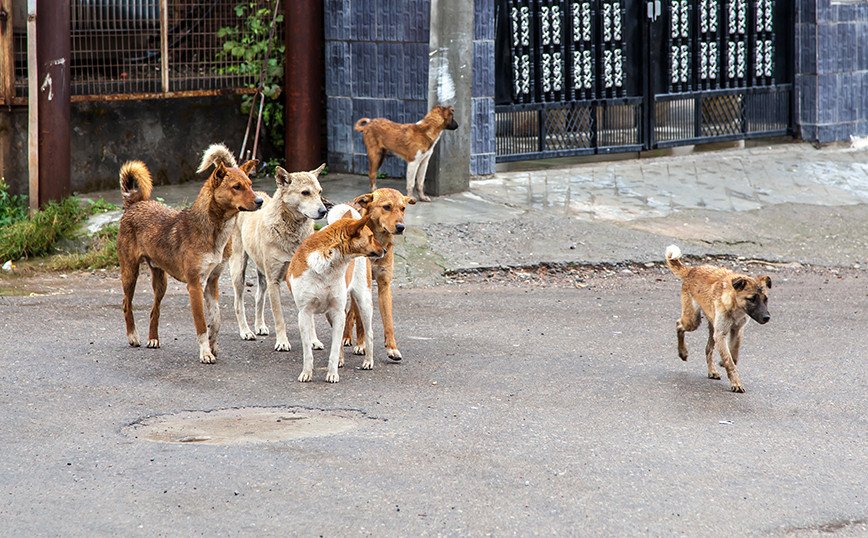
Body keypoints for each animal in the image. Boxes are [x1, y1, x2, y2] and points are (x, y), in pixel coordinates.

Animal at [117, 144, 262, 364]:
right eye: (236, 187)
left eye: (251, 184)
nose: (260, 201)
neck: (214, 231)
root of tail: (134, 204)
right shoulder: (195, 286)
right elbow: (201, 324)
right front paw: (205, 353)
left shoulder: (212, 282)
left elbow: (216, 319)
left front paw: (213, 345)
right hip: (130, 273)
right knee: (127, 304)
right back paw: (133, 336)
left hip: (161, 282)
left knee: (154, 310)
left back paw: (153, 339)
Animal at [229, 162, 328, 352]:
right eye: (305, 193)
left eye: (320, 192)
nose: (324, 211)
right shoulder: (274, 281)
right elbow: (279, 317)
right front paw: (282, 342)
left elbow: (309, 317)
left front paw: (313, 340)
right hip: (239, 269)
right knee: (238, 304)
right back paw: (245, 331)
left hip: (262, 274)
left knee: (258, 297)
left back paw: (259, 325)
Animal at [288, 210, 384, 382]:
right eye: (371, 237)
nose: (385, 250)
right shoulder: (304, 314)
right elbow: (308, 351)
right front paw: (306, 373)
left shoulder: (338, 312)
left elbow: (333, 349)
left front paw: (332, 374)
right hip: (331, 314)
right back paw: (341, 360)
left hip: (363, 303)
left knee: (369, 334)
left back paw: (368, 361)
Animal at [664, 243, 772, 390]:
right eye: (751, 299)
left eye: (765, 299)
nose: (767, 317)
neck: (735, 306)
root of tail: (692, 270)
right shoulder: (721, 334)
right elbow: (729, 361)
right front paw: (736, 383)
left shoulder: (737, 330)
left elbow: (734, 354)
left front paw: (724, 362)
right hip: (693, 320)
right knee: (679, 325)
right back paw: (683, 352)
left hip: (712, 328)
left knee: (708, 349)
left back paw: (712, 371)